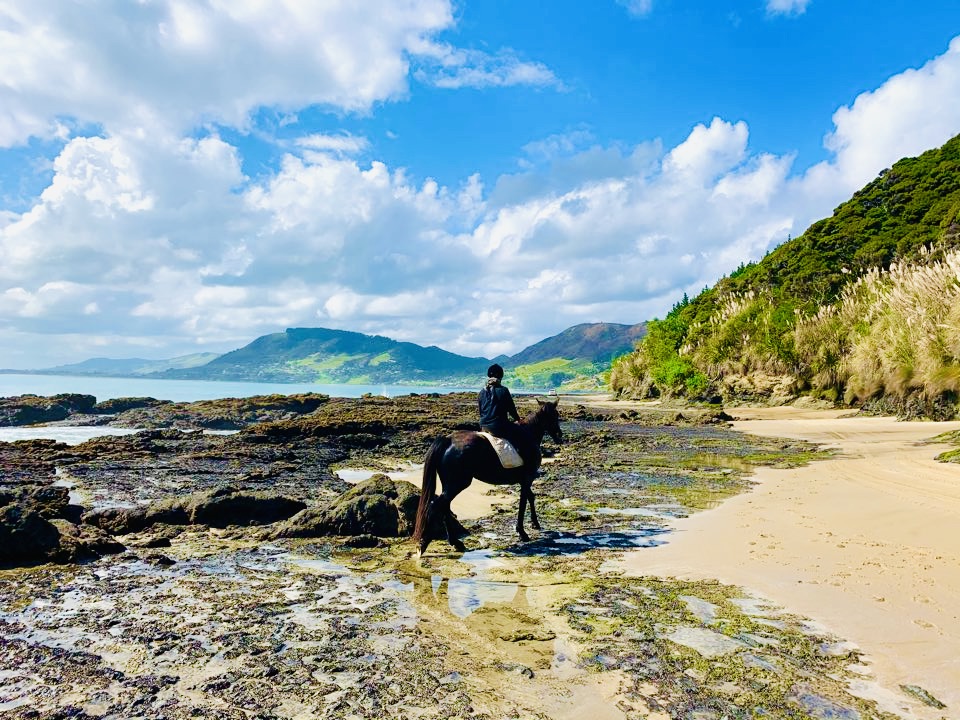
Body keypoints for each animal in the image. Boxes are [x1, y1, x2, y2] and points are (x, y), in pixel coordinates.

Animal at [412, 398, 562, 556]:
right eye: (555, 415)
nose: (560, 436)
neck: (529, 434)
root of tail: (448, 440)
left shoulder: (524, 480)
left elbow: (530, 497)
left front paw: (535, 524)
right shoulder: (527, 478)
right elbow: (523, 502)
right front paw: (522, 532)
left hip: (450, 484)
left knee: (444, 507)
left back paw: (456, 543)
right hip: (457, 483)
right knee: (436, 506)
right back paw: (424, 543)